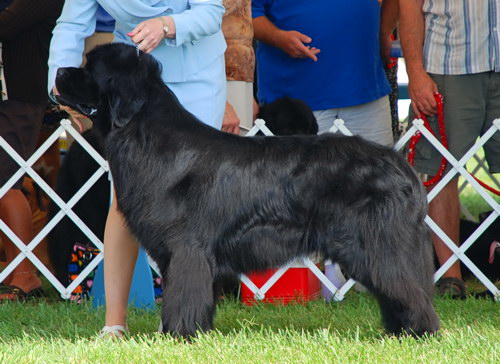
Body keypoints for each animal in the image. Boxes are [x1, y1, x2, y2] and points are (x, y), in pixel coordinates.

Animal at [53, 42, 438, 338]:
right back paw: (399, 332)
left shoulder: (187, 249)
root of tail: (400, 164)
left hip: (378, 245)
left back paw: (420, 332)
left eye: (89, 67)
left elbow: (182, 296)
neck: (146, 134)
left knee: (408, 289)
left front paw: (178, 336)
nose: (57, 71)